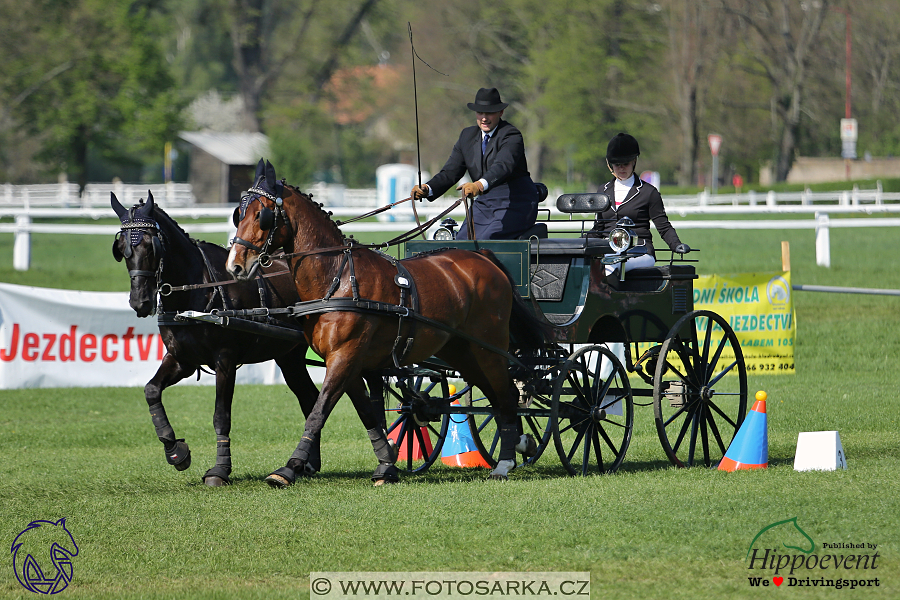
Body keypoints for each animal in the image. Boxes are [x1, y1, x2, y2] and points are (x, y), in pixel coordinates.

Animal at [111, 192, 324, 488]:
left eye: (150, 246)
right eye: (121, 249)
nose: (139, 302)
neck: (196, 290)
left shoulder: (225, 360)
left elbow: (221, 416)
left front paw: (220, 470)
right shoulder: (182, 360)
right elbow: (151, 390)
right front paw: (175, 450)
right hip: (289, 356)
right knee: (310, 398)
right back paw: (307, 463)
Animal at [229, 159, 544, 482]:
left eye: (262, 216)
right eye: (238, 214)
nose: (235, 265)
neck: (338, 277)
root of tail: (484, 257)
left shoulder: (344, 357)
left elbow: (319, 411)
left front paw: (289, 467)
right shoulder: (349, 363)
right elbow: (366, 412)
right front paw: (386, 462)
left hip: (489, 348)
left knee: (506, 395)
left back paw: (505, 461)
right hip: (462, 352)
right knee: (498, 395)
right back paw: (519, 445)